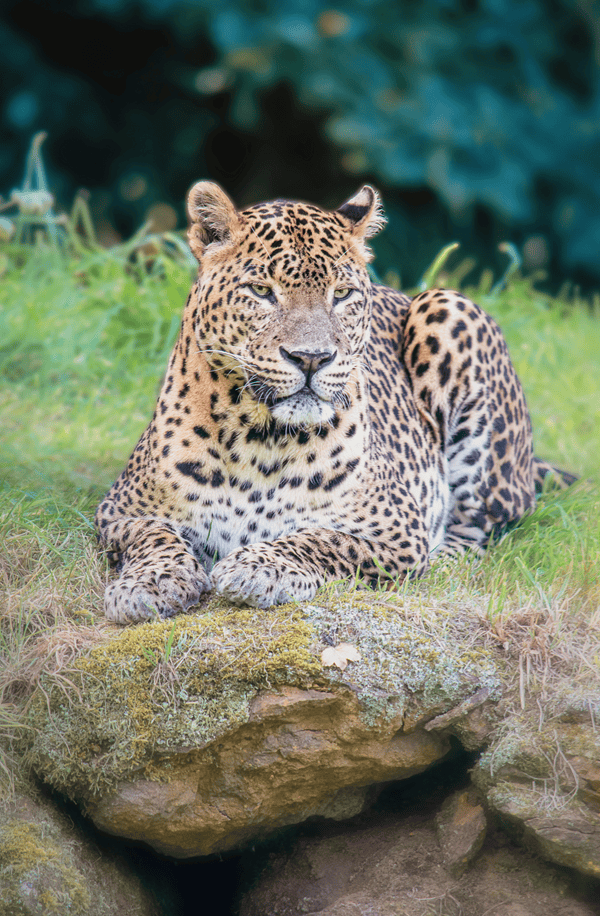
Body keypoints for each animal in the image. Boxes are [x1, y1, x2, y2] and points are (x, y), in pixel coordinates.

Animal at [95, 181, 576, 624]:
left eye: (342, 294)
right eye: (261, 290)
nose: (312, 358)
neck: (260, 441)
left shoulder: (398, 531)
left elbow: (323, 539)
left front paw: (259, 568)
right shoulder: (117, 512)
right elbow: (154, 536)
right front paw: (148, 584)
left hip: (449, 310)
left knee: (479, 526)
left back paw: (442, 564)